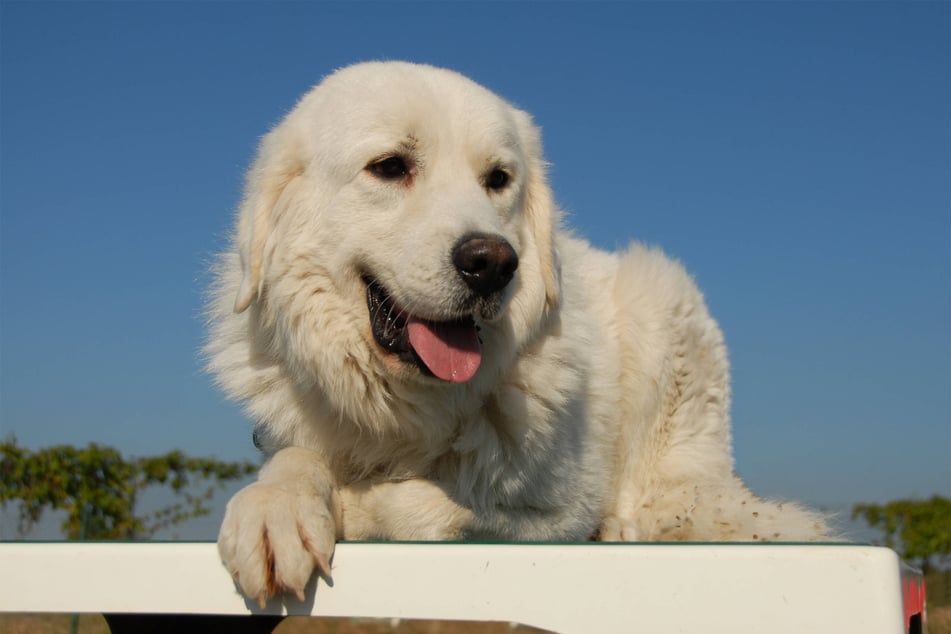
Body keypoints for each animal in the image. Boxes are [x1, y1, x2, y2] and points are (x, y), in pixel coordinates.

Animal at [205, 61, 828, 604]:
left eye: (498, 181)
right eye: (390, 167)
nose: (494, 263)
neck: (408, 413)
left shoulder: (559, 512)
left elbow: (429, 509)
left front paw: (351, 508)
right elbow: (295, 461)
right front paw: (274, 509)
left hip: (658, 294)